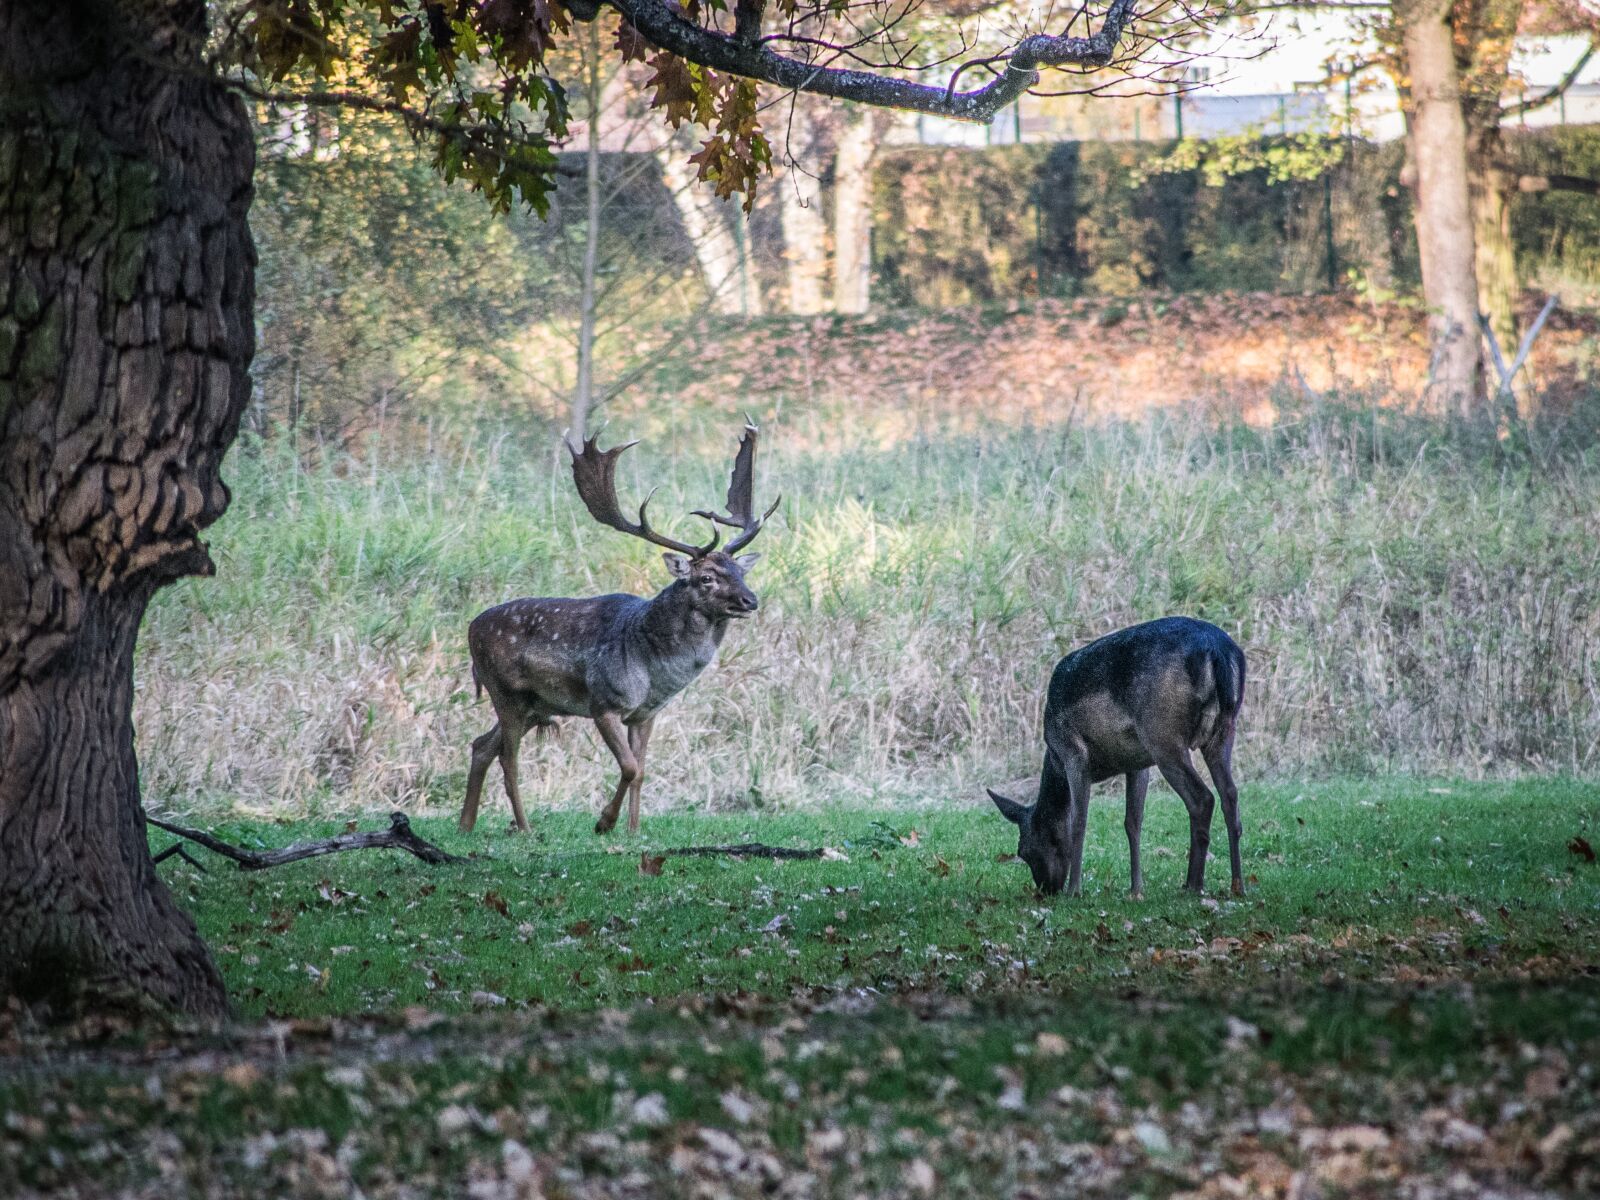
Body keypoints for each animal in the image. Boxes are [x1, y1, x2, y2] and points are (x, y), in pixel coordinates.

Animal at [458, 423, 778, 837]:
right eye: (706, 577)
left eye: (740, 571)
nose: (750, 600)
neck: (654, 669)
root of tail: (470, 629)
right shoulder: (604, 701)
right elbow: (628, 766)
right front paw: (603, 822)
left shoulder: (646, 713)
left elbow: (641, 770)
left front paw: (633, 830)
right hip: (505, 692)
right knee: (508, 759)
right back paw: (524, 827)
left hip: (534, 704)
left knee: (481, 744)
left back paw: (465, 825)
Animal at [988, 616, 1246, 898]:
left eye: (1024, 851)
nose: (1047, 889)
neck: (1054, 758)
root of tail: (1217, 651)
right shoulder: (1137, 763)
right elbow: (1132, 822)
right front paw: (1136, 889)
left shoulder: (1074, 752)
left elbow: (1079, 821)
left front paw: (1074, 890)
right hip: (1223, 729)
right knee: (1230, 794)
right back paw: (1237, 886)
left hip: (1163, 734)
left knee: (1203, 798)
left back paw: (1193, 885)